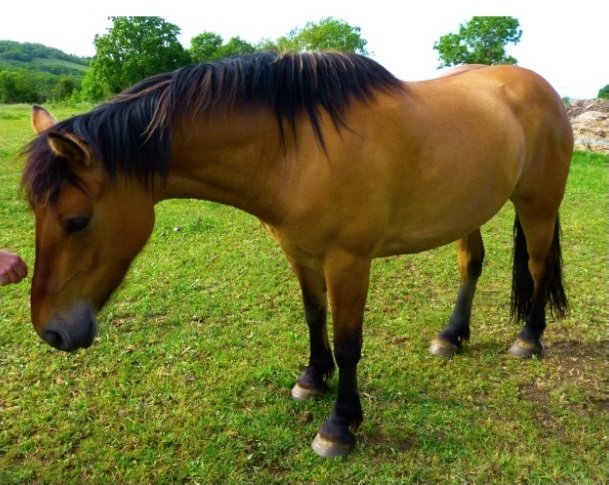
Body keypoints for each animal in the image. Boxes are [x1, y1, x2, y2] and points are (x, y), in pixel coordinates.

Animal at [20, 51, 568, 456]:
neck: (299, 149)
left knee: (538, 267)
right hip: (466, 210)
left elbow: (349, 343)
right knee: (470, 263)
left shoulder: (349, 261)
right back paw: (451, 337)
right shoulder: (300, 253)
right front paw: (311, 378)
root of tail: (539, 86)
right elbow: (313, 315)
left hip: (538, 205)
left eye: (76, 221)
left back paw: (528, 340)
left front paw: (339, 427)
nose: (52, 331)